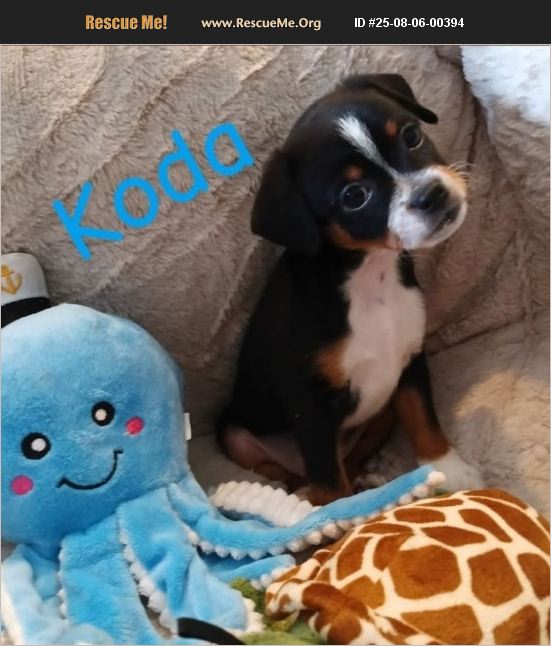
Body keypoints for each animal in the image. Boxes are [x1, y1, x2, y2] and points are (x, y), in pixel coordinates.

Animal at [218, 74, 484, 504]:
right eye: (354, 197)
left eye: (412, 136)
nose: (432, 195)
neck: (371, 278)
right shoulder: (309, 405)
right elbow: (328, 481)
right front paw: (341, 515)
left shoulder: (410, 360)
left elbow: (424, 418)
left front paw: (447, 466)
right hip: (235, 433)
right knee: (289, 472)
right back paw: (298, 492)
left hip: (382, 412)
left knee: (351, 458)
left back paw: (364, 481)